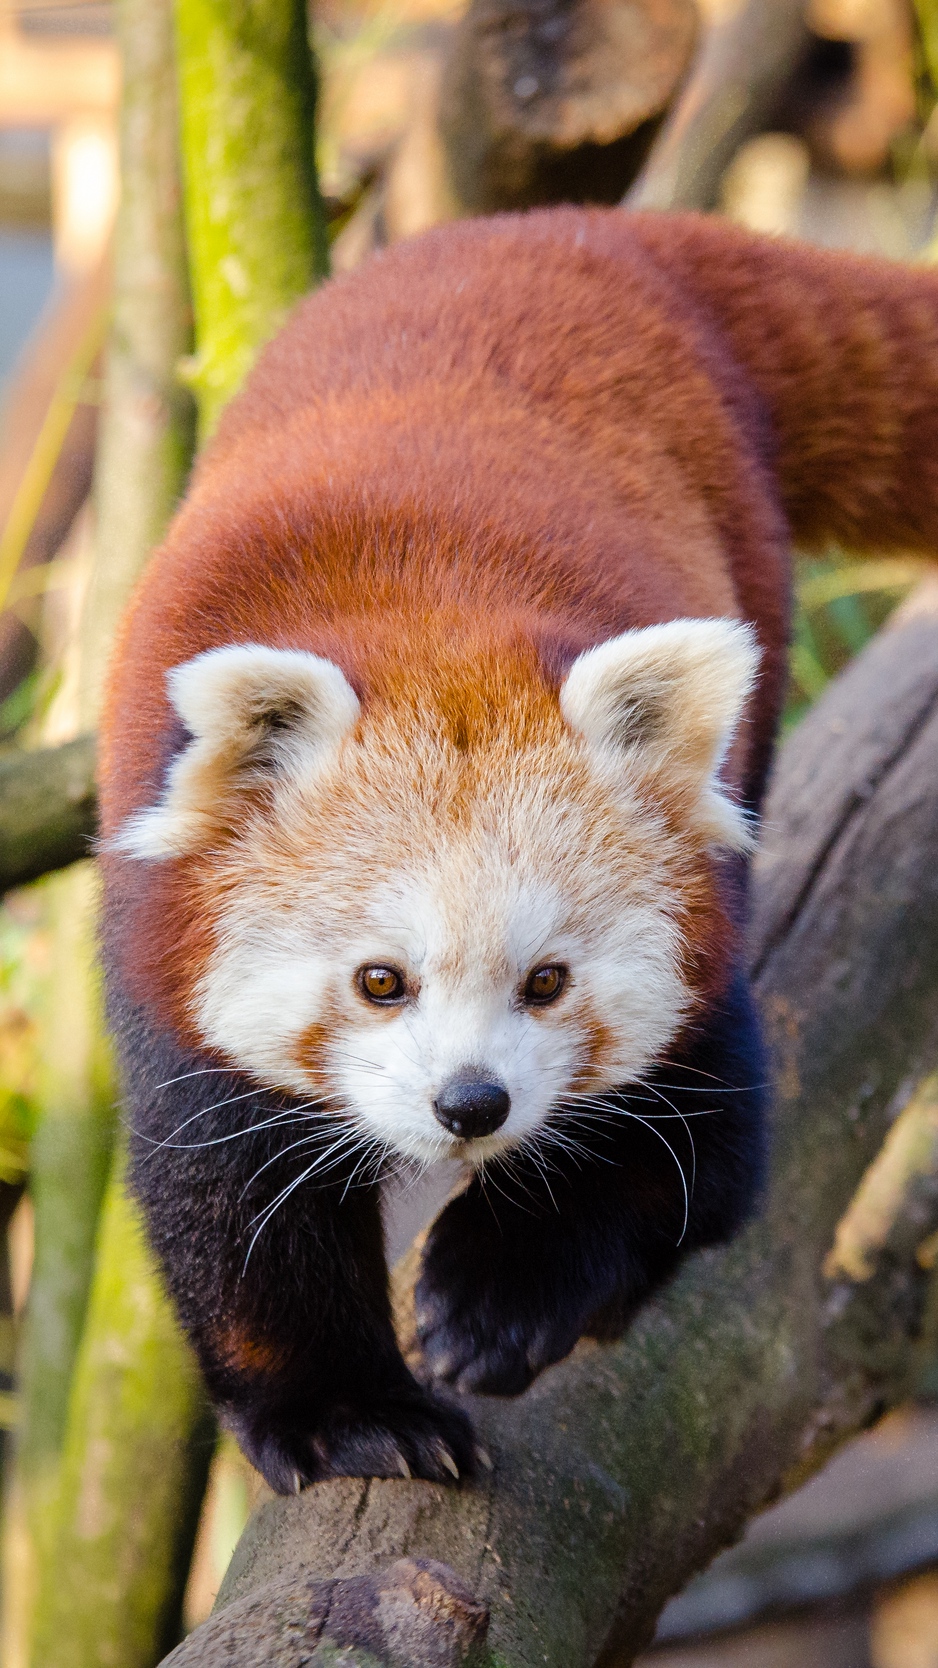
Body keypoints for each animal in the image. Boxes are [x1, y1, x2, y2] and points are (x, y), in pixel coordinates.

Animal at [100, 201, 934, 1494]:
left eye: (546, 981)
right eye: (379, 981)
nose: (471, 1103)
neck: (430, 632)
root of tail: (579, 228)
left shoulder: (703, 958)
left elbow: (695, 1162)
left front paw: (501, 1297)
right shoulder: (168, 973)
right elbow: (232, 1210)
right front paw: (349, 1412)